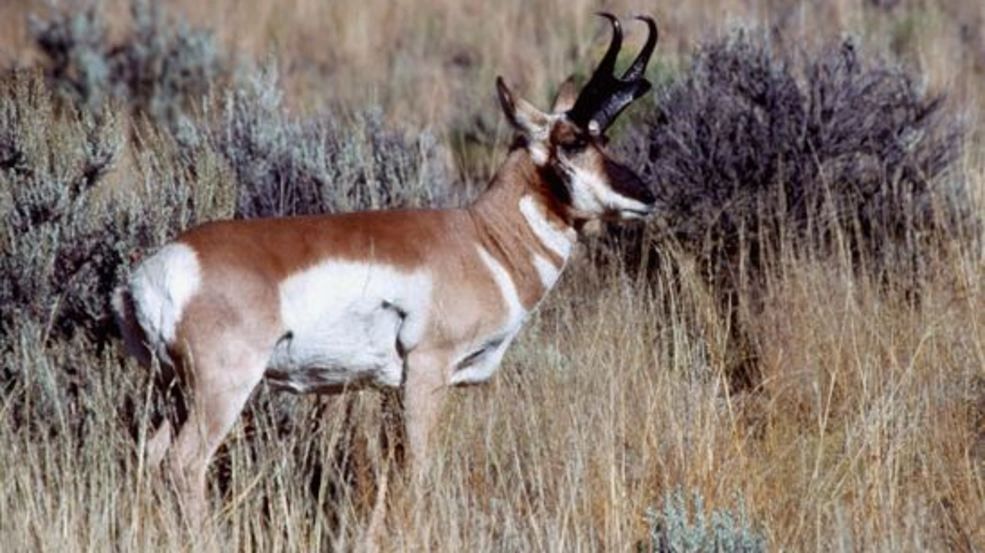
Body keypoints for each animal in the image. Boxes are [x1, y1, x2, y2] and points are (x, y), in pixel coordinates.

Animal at [111, 11, 656, 520]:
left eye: (604, 141)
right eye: (573, 142)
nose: (646, 197)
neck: (480, 239)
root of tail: (153, 273)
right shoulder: (425, 375)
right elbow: (419, 469)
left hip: (175, 390)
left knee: (151, 455)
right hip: (220, 390)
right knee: (184, 463)